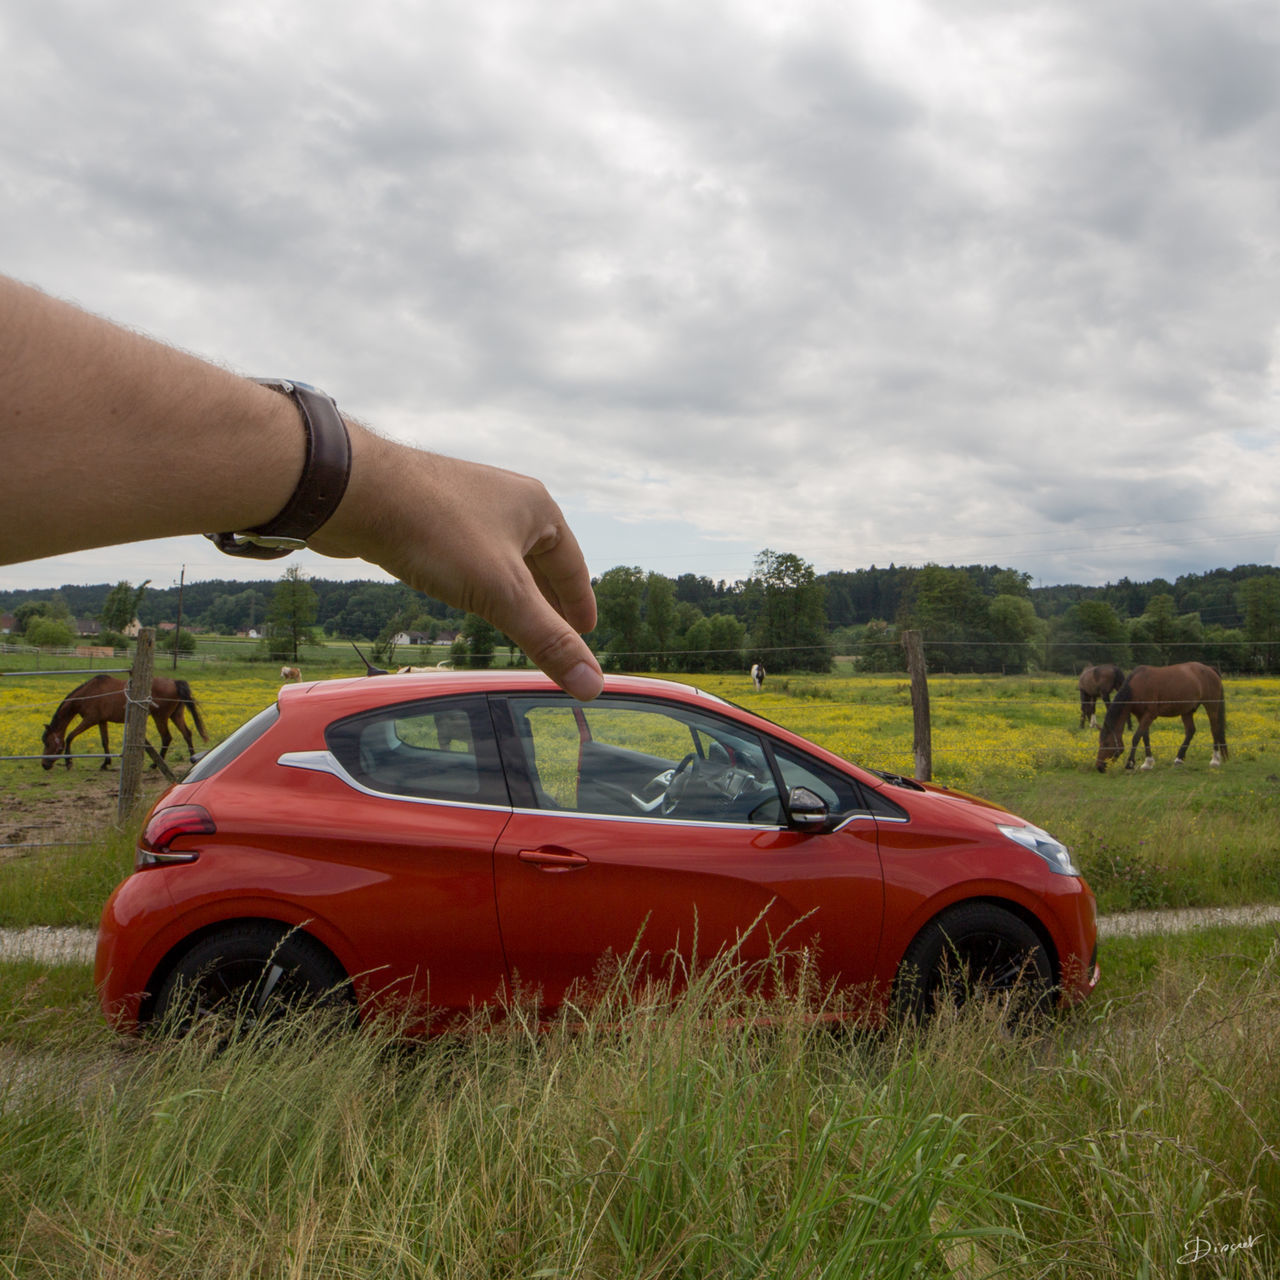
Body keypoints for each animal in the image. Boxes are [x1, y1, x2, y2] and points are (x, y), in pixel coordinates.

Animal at [40, 675, 207, 773]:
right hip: (175, 715)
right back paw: (193, 759)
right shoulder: (101, 721)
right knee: (187, 733)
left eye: (48, 743)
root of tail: (173, 682)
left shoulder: (90, 720)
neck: (89, 693)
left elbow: (69, 736)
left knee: (167, 737)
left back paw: (155, 765)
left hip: (160, 717)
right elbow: (105, 741)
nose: (44, 765)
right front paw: (105, 763)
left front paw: (68, 762)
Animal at [1095, 665, 1223, 773]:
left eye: (1106, 743)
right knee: (1190, 731)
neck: (1137, 687)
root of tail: (1209, 669)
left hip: (1211, 706)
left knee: (1214, 729)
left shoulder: (1149, 715)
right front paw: (1147, 763)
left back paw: (1215, 760)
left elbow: (1136, 737)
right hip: (1187, 711)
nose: (1099, 767)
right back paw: (1179, 759)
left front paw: (1130, 764)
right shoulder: (1141, 716)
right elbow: (1145, 737)